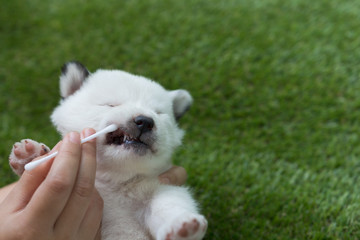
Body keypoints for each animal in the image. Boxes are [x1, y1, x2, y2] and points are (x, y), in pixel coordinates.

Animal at [9, 62, 208, 240]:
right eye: (111, 105)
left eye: (159, 113)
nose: (145, 121)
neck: (114, 181)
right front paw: (32, 156)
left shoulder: (159, 187)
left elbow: (169, 202)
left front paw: (182, 225)